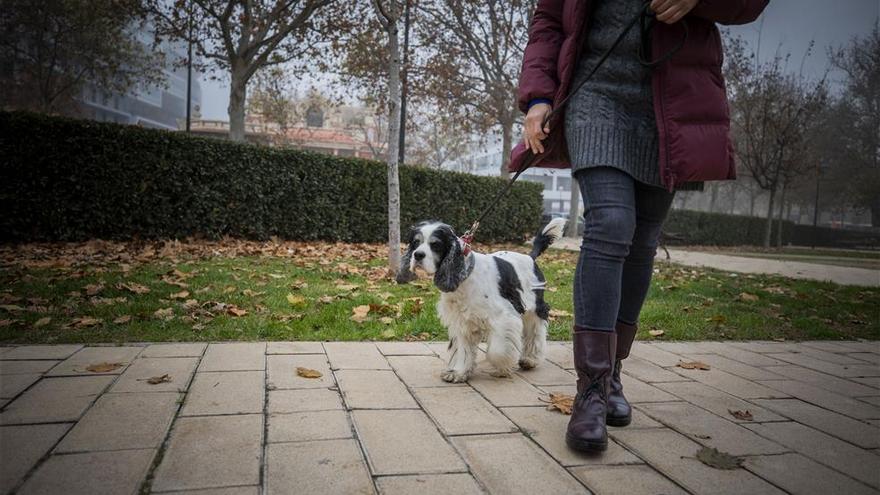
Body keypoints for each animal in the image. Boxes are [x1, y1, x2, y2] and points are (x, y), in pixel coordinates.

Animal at [398, 219, 564, 386]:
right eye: (415, 242)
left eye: (436, 244)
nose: (418, 255)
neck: (465, 276)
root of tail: (530, 257)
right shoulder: (462, 321)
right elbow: (463, 349)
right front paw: (458, 373)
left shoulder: (502, 317)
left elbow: (497, 350)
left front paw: (502, 367)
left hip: (535, 307)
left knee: (536, 330)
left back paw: (530, 359)